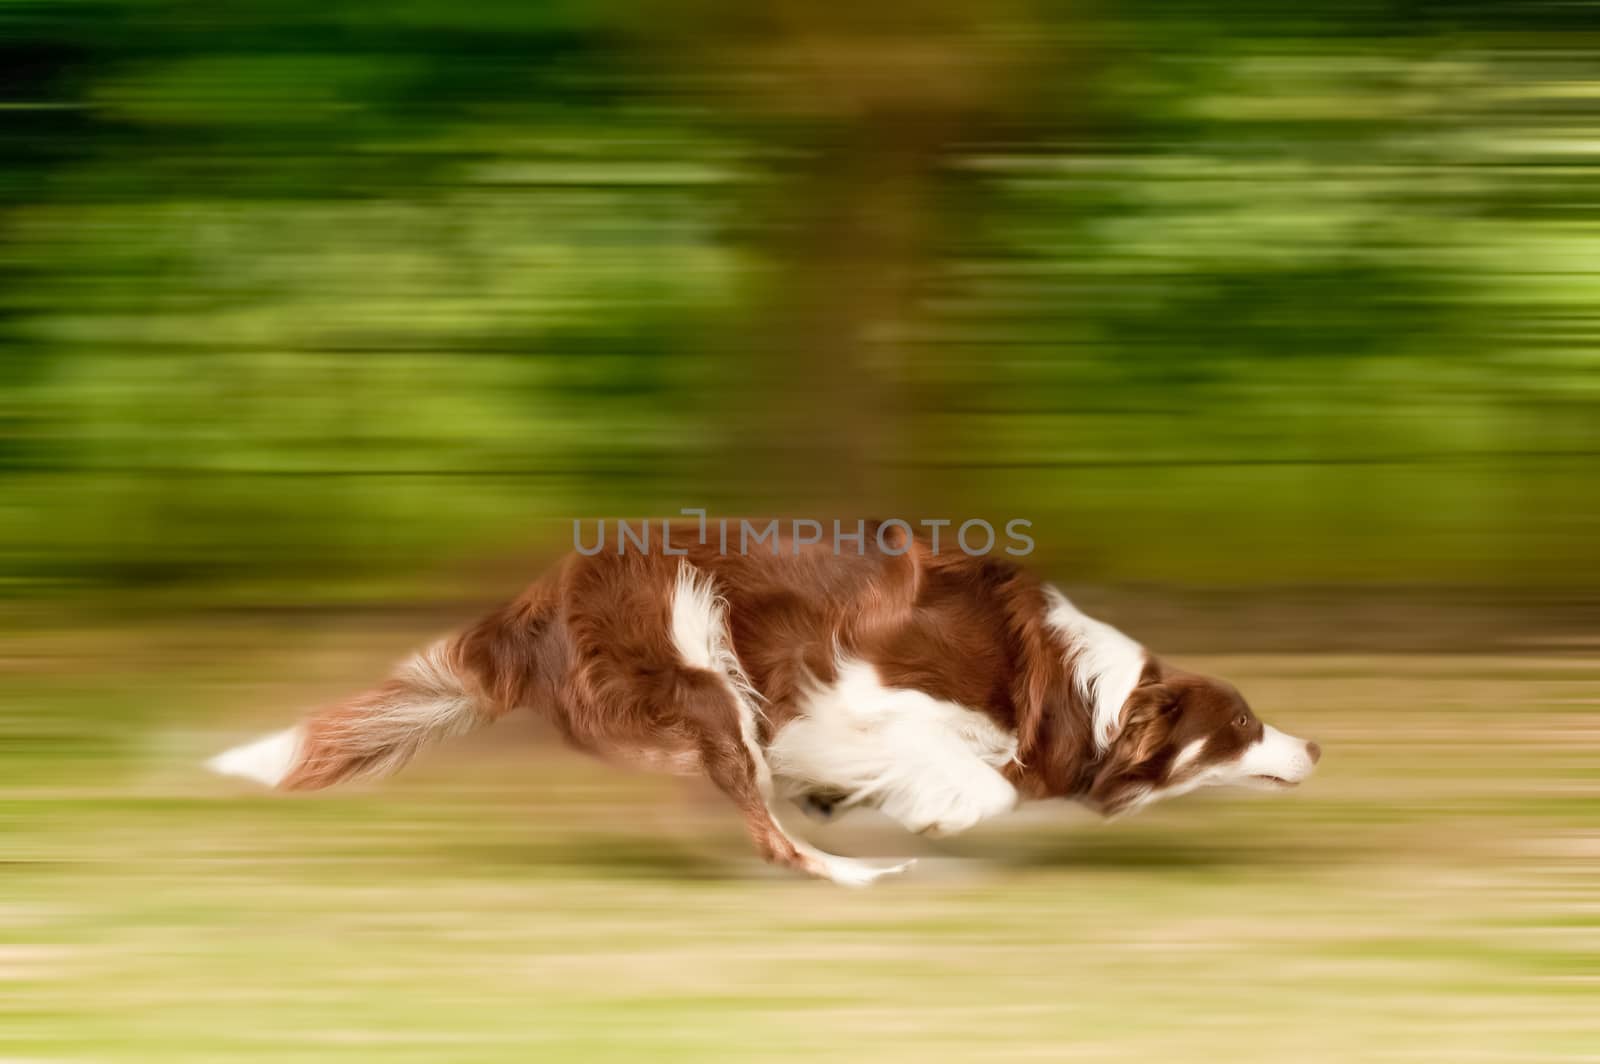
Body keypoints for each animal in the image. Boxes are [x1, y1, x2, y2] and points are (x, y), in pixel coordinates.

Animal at [206, 521, 1318, 876]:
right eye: (1245, 724)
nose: (1316, 747)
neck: (1087, 690)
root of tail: (536, 599)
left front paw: (862, 797)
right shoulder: (857, 698)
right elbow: (974, 778)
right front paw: (931, 808)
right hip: (703, 665)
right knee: (760, 816)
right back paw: (850, 869)